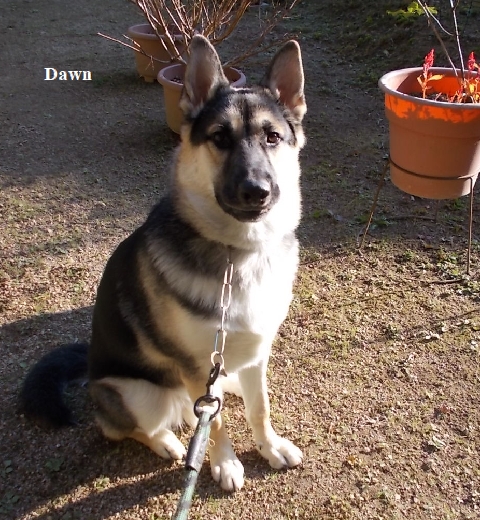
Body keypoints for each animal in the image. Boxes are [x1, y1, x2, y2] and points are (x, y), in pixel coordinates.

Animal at [19, 34, 306, 492]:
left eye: (273, 137)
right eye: (220, 137)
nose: (256, 191)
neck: (237, 254)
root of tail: (91, 364)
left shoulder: (257, 354)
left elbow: (259, 407)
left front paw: (269, 445)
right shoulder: (195, 369)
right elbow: (216, 423)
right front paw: (225, 464)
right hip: (140, 393)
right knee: (121, 425)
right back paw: (166, 442)